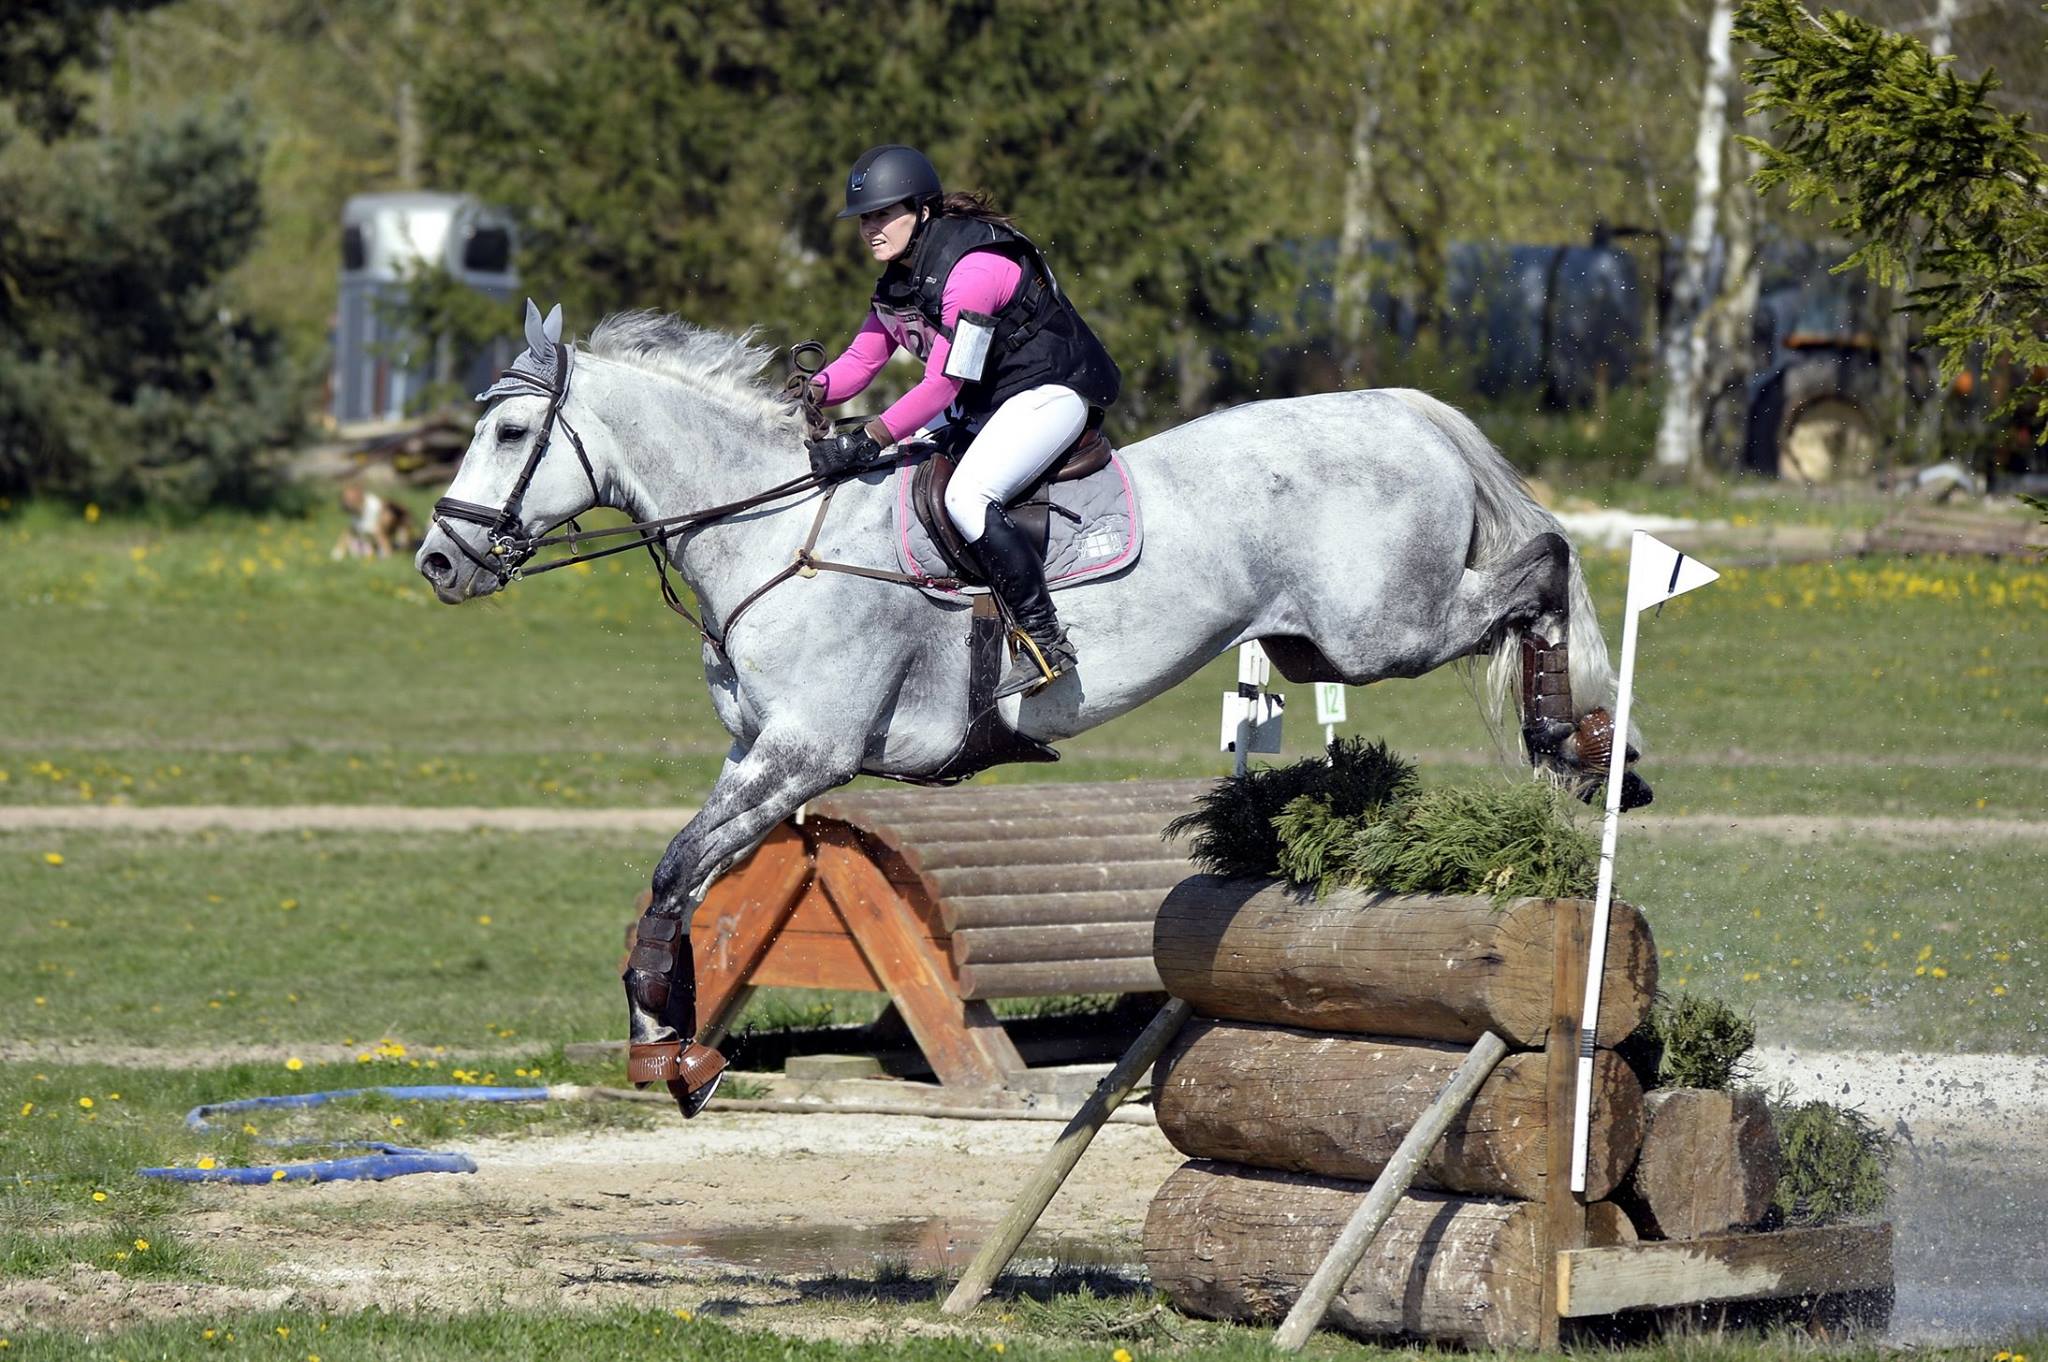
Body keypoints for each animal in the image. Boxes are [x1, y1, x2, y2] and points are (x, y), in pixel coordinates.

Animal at [419, 305, 1646, 1105]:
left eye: (513, 434)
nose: (439, 561)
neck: (771, 530)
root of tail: (1396, 409)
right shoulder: (759, 755)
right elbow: (675, 879)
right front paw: (664, 1036)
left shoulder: (808, 753)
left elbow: (679, 866)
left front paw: (664, 1039)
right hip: (1314, 648)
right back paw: (1582, 746)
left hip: (1378, 629)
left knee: (1542, 564)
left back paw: (1581, 740)